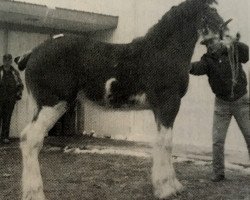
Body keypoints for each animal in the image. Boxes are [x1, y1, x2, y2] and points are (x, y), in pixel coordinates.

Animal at [16, 0, 226, 199]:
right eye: (212, 11)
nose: (223, 47)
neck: (162, 52)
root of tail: (31, 53)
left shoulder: (159, 109)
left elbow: (161, 142)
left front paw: (172, 185)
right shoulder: (169, 104)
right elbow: (166, 143)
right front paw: (166, 188)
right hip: (52, 105)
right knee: (30, 139)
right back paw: (35, 193)